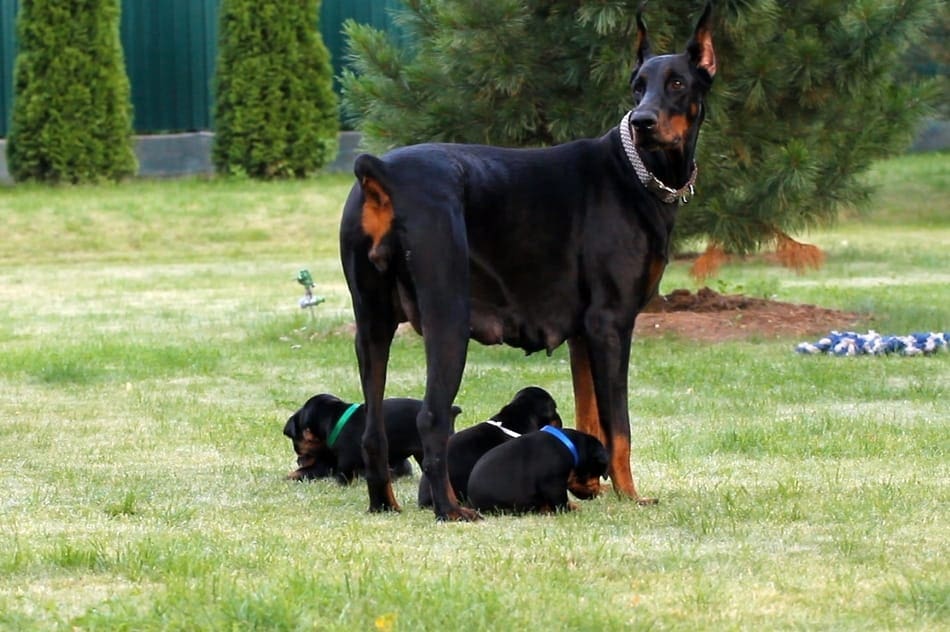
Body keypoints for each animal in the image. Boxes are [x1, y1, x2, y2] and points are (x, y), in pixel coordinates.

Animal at [282, 396, 462, 484]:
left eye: (296, 444)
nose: (299, 460)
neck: (336, 417)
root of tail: (452, 411)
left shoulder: (344, 459)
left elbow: (340, 473)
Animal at [466, 428, 608, 516]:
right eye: (597, 473)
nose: (596, 493)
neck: (571, 448)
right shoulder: (553, 484)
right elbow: (560, 502)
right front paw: (570, 509)